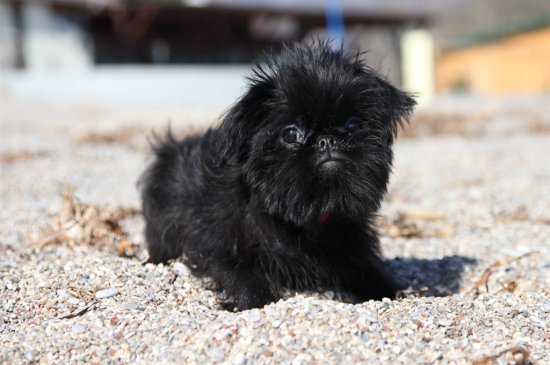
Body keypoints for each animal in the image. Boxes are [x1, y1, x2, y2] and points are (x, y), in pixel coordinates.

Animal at [140, 42, 416, 310]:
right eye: (291, 134)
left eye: (352, 125)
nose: (326, 140)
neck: (306, 215)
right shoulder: (215, 243)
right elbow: (239, 272)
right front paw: (253, 299)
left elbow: (369, 273)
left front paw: (397, 292)